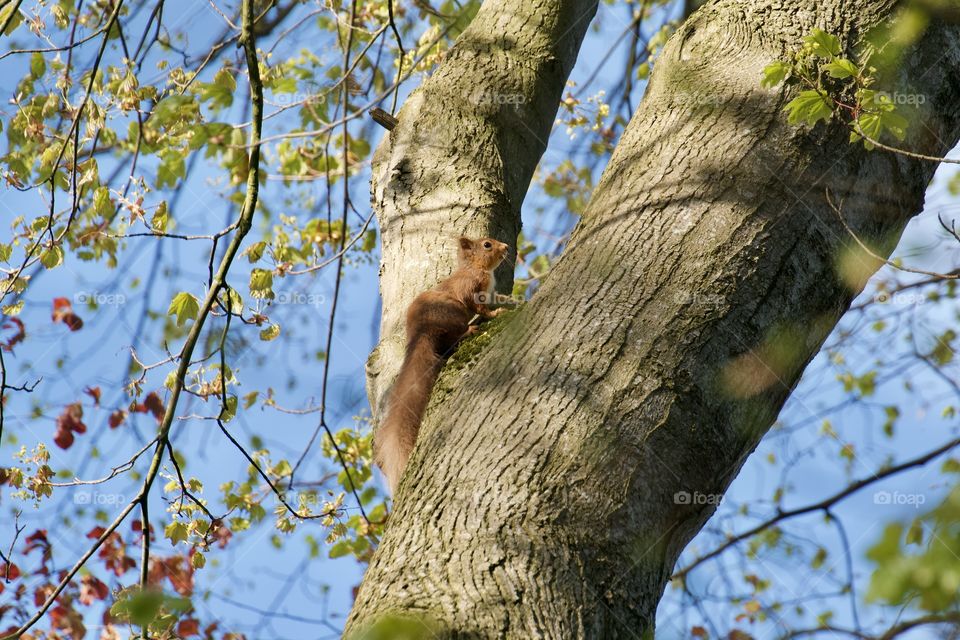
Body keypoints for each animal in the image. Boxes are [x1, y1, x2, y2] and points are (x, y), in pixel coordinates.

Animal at [374, 236, 510, 493]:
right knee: (453, 336)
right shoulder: (472, 288)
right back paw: (468, 330)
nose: (506, 247)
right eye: (487, 244)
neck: (476, 267)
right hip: (454, 313)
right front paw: (495, 313)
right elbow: (481, 307)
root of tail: (420, 333)